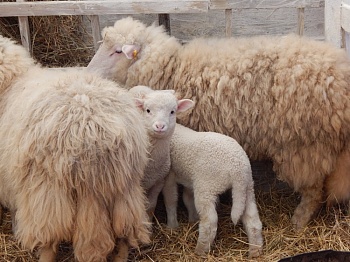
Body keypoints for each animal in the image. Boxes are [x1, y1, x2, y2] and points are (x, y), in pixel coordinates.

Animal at [0, 34, 150, 262]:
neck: (11, 84)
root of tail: (95, 128)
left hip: (50, 188)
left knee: (51, 237)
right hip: (124, 186)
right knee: (124, 231)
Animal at [129, 85, 194, 216]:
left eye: (172, 111)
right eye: (148, 110)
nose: (160, 126)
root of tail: (140, 87)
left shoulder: (159, 182)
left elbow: (151, 206)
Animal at [163, 123, 264, 258]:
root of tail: (238, 168)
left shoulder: (169, 174)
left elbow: (170, 199)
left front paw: (171, 226)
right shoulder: (190, 179)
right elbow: (187, 198)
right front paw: (192, 219)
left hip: (207, 186)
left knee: (209, 223)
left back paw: (200, 250)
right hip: (247, 188)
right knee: (252, 219)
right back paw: (255, 251)